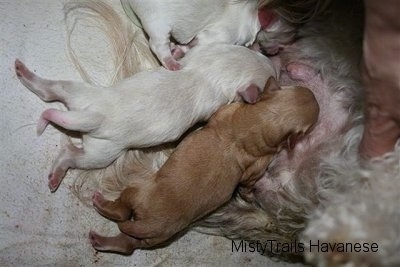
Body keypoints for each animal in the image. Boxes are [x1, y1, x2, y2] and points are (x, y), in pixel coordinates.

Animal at [14, 45, 276, 194]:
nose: (276, 69)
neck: (215, 68)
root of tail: (97, 115)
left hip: (80, 97)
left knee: (52, 91)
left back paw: (25, 73)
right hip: (104, 153)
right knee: (72, 156)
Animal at [89, 77, 320, 255]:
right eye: (295, 87)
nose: (314, 95)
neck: (254, 124)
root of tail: (147, 226)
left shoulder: (255, 158)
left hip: (136, 195)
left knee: (122, 216)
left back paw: (101, 208)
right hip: (150, 231)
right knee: (127, 241)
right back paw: (102, 240)